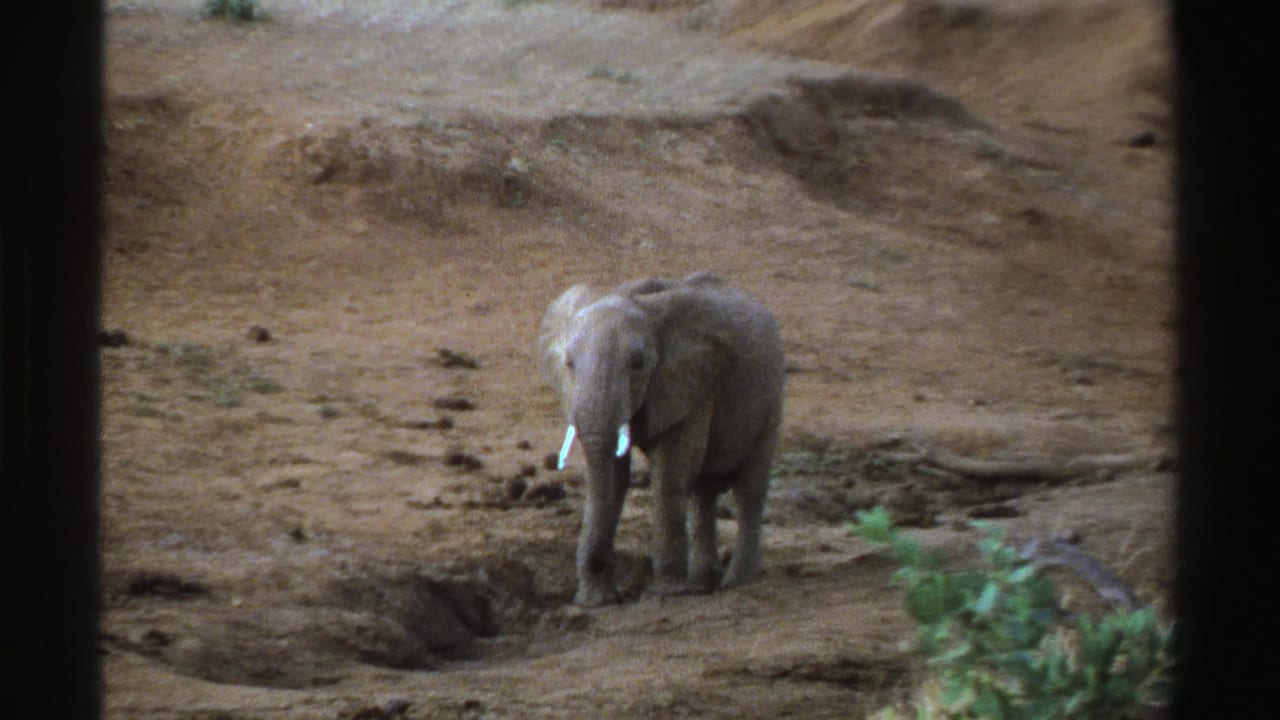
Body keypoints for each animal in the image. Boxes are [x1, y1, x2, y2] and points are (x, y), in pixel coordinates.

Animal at [537, 272, 786, 606]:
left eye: (639, 364)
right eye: (569, 365)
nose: (598, 563)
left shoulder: (692, 382)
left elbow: (670, 472)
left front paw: (668, 593)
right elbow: (615, 477)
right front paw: (598, 600)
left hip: (772, 396)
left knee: (749, 488)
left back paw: (737, 583)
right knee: (704, 491)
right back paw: (704, 583)